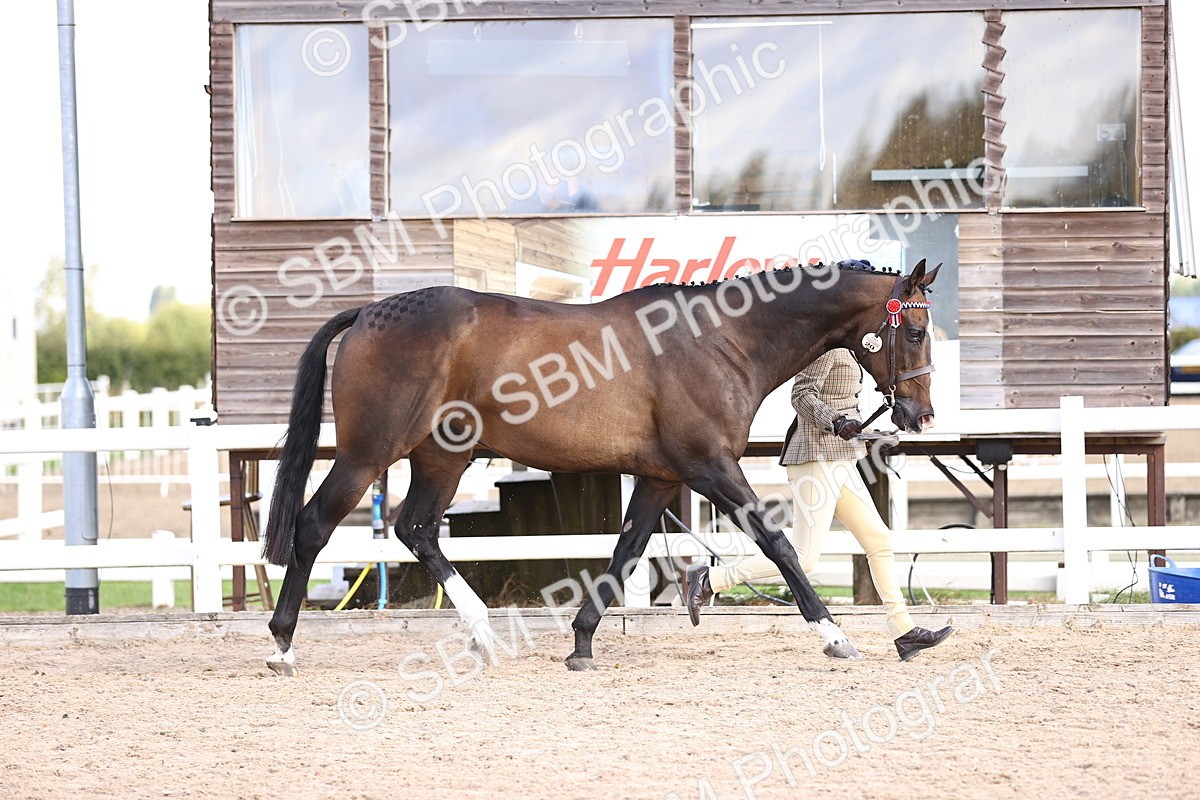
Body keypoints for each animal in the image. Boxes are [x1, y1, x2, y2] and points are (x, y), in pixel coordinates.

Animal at [260, 257, 940, 675]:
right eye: (914, 333)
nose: (919, 415)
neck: (722, 339)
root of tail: (370, 312)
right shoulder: (711, 467)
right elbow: (779, 545)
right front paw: (836, 637)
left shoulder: (662, 477)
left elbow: (626, 551)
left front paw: (583, 642)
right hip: (368, 453)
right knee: (314, 526)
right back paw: (284, 644)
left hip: (442, 457)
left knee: (415, 530)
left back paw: (483, 634)